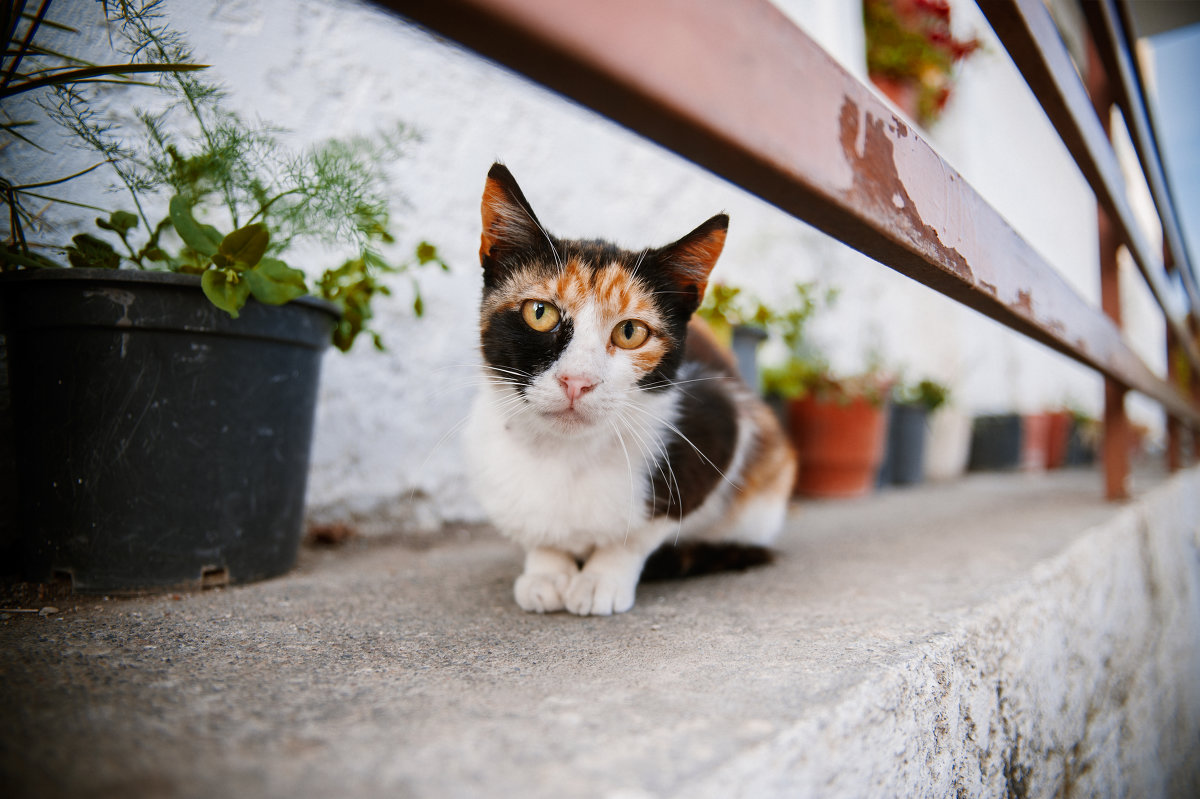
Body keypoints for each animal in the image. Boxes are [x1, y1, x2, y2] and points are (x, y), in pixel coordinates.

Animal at [465, 158, 796, 611]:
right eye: (539, 313)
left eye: (630, 333)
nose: (577, 381)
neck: (566, 453)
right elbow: (535, 528)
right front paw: (547, 568)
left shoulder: (717, 425)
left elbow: (643, 530)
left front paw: (602, 577)